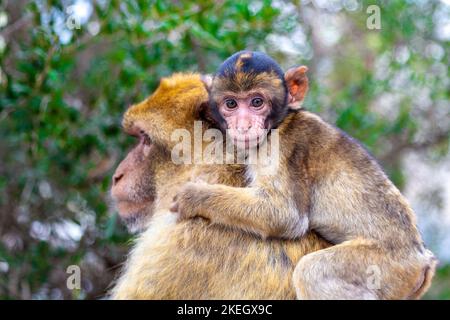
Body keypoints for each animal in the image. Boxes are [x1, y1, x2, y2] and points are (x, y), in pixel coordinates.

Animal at [171, 50, 436, 300]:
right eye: (231, 104)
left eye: (257, 102)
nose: (243, 126)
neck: (281, 122)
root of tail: (423, 261)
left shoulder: (282, 148)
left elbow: (283, 214)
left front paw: (193, 195)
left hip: (385, 265)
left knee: (313, 273)